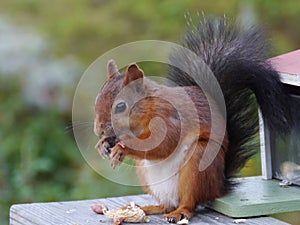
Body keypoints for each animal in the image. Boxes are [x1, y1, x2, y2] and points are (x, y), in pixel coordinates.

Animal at [93, 17, 292, 221]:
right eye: (97, 99)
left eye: (121, 106)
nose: (98, 129)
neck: (149, 108)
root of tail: (218, 186)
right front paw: (104, 143)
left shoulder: (169, 117)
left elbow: (164, 144)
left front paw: (121, 149)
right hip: (147, 174)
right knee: (166, 205)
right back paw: (149, 208)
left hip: (197, 164)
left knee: (189, 203)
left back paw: (179, 212)